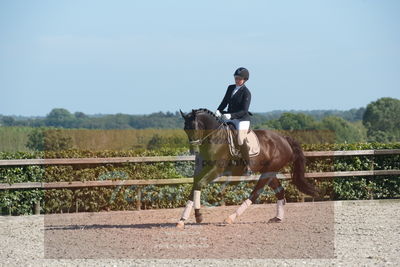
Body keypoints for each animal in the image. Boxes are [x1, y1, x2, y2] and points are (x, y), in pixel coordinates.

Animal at [177, 108, 320, 229]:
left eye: (195, 127)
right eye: (185, 129)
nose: (194, 151)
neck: (214, 137)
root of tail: (283, 139)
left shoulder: (217, 170)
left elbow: (200, 184)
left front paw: (198, 216)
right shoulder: (202, 169)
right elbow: (195, 185)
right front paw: (182, 220)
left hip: (268, 172)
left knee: (255, 194)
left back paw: (230, 218)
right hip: (269, 172)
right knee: (280, 191)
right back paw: (277, 218)